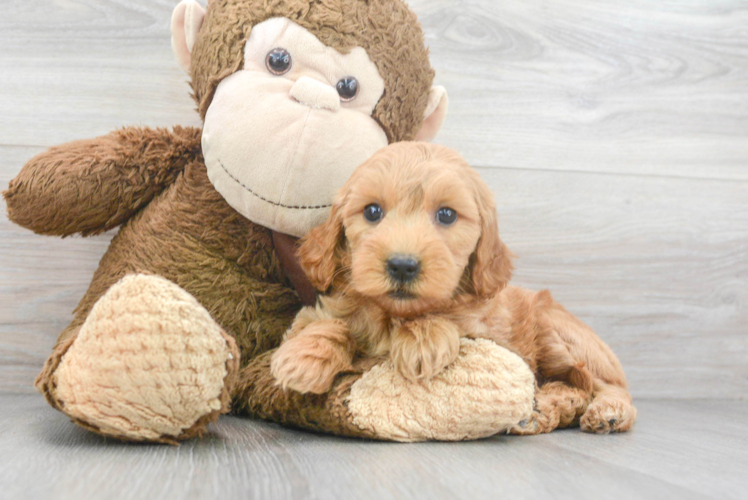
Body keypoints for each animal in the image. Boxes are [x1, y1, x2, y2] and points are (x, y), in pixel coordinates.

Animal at [270, 142, 636, 434]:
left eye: (446, 215)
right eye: (372, 211)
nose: (402, 265)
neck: (392, 315)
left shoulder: (487, 334)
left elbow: (443, 323)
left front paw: (422, 342)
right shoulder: (322, 311)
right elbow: (330, 323)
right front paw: (304, 356)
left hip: (557, 332)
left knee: (602, 384)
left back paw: (606, 412)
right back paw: (542, 409)